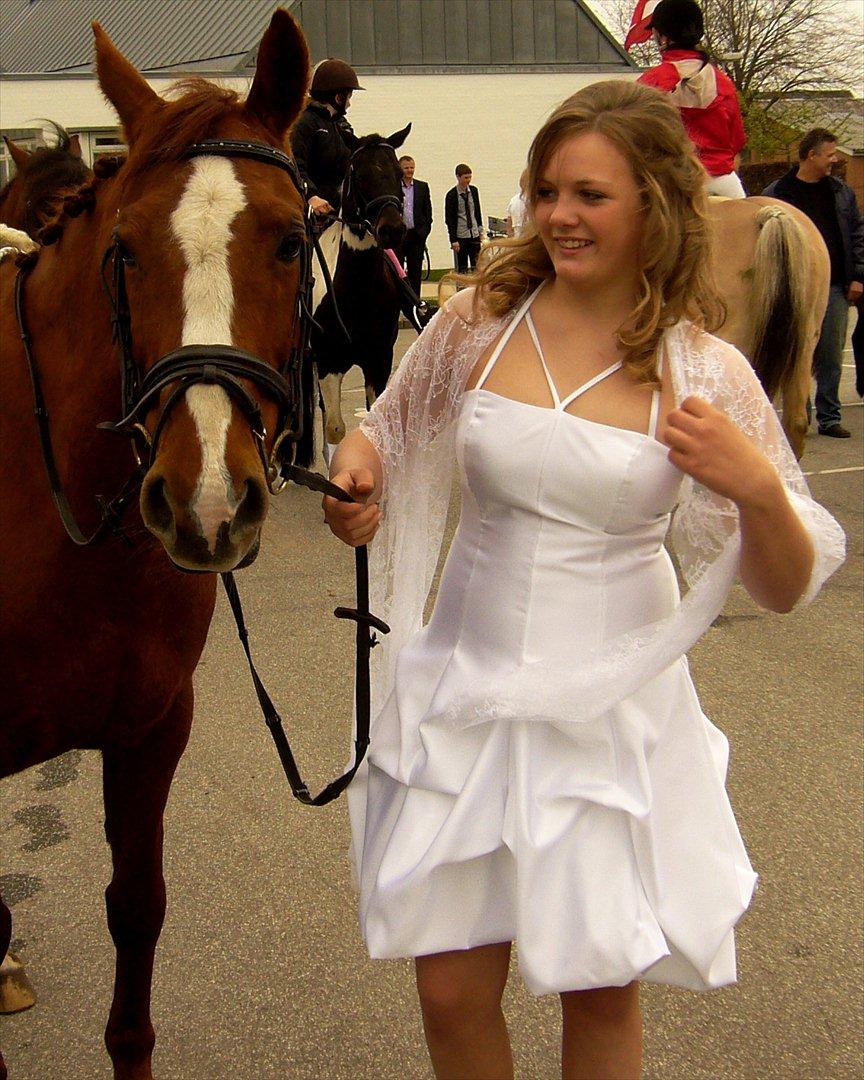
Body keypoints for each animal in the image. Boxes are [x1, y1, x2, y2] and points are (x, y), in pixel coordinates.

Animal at [308, 126, 410, 464]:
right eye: (360, 175)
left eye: (399, 174)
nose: (392, 229)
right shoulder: (328, 362)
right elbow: (334, 429)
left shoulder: (379, 359)